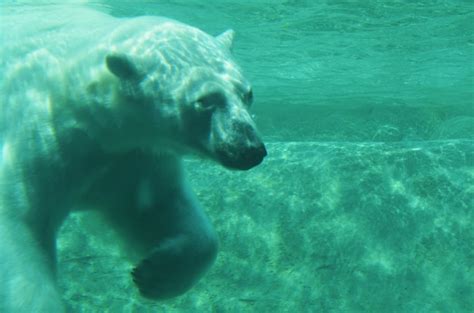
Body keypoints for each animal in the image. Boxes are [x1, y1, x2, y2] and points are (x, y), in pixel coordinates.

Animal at [0, 5, 266, 312]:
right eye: (205, 100)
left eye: (247, 93)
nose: (250, 148)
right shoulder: (44, 138)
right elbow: (20, 219)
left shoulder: (132, 158)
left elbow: (155, 207)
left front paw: (154, 274)